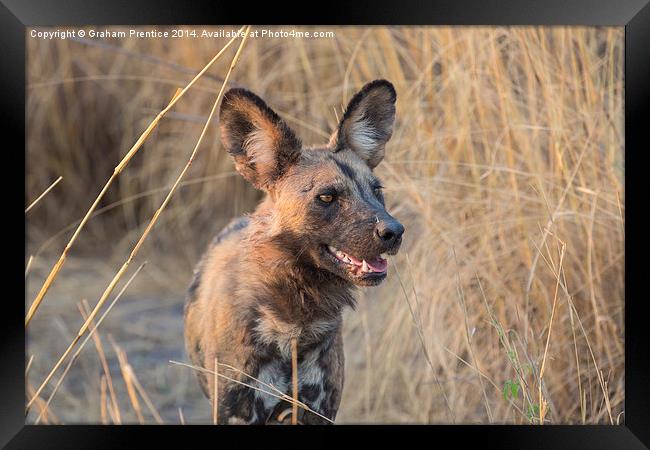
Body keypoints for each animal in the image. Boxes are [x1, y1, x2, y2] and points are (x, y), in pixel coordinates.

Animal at [182, 80, 402, 422]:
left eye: (376, 191)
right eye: (327, 197)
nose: (394, 232)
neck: (294, 322)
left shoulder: (318, 411)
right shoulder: (236, 412)